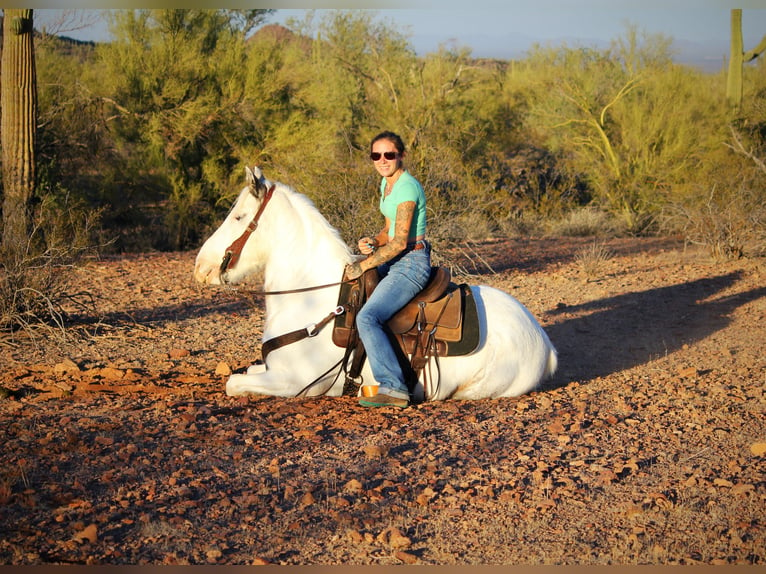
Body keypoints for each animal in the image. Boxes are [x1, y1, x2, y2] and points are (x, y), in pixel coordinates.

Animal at [194, 164, 560, 402]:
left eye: (238, 216)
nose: (201, 267)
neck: (312, 301)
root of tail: (544, 341)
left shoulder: (294, 382)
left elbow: (233, 383)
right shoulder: (271, 370)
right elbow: (244, 374)